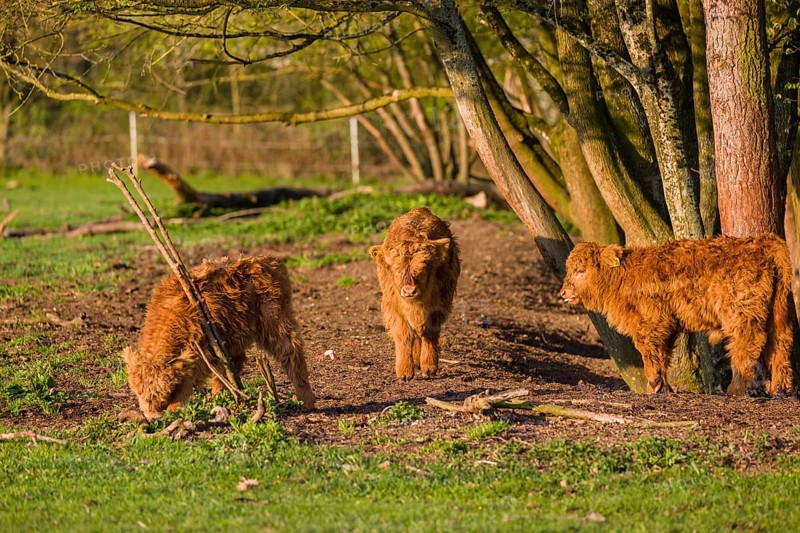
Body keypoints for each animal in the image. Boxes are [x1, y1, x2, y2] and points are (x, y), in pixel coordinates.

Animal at [124, 255, 315, 419]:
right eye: (138, 391)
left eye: (159, 393)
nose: (151, 415)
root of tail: (269, 261)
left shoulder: (198, 356)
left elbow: (185, 387)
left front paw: (174, 410)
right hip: (236, 334)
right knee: (234, 363)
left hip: (275, 320)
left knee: (291, 350)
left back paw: (306, 401)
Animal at [369, 207, 461, 380]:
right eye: (396, 268)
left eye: (424, 266)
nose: (409, 291)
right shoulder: (393, 307)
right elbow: (404, 334)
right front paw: (404, 371)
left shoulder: (438, 305)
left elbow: (429, 332)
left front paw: (429, 366)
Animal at [560, 234, 795, 396]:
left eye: (581, 270)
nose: (563, 293)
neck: (622, 279)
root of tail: (758, 241)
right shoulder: (668, 325)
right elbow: (662, 355)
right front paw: (662, 388)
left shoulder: (652, 322)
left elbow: (649, 352)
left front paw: (653, 385)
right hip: (776, 312)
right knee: (779, 343)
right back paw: (780, 389)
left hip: (741, 313)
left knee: (745, 344)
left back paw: (736, 390)